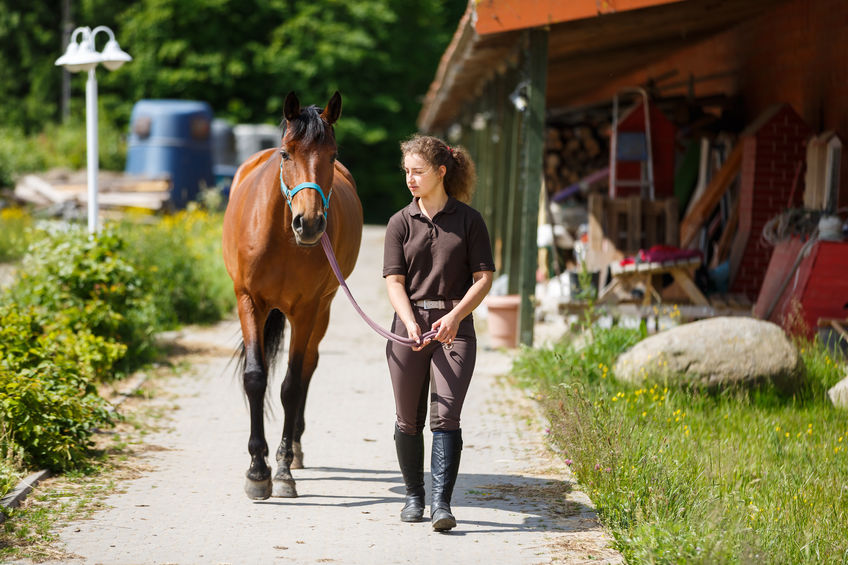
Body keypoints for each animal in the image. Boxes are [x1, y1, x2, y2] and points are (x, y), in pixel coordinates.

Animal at [220, 89, 362, 498]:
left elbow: (291, 385)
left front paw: (281, 470)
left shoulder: (307, 309)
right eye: (286, 153)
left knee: (309, 367)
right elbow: (256, 377)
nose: (310, 223)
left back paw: (295, 449)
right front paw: (257, 470)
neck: (281, 236)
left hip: (323, 310)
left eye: (332, 154)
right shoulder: (249, 301)